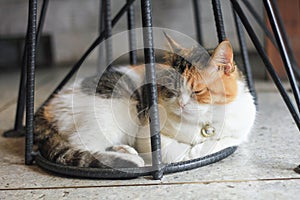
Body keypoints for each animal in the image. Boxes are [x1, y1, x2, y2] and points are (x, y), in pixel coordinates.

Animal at [34, 35, 255, 168]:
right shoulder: (147, 133)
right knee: (82, 144)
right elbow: (176, 152)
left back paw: (124, 150)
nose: (181, 104)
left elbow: (228, 141)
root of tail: (48, 106)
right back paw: (129, 158)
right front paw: (191, 152)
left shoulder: (241, 127)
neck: (203, 122)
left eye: (197, 91)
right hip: (116, 111)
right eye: (171, 90)